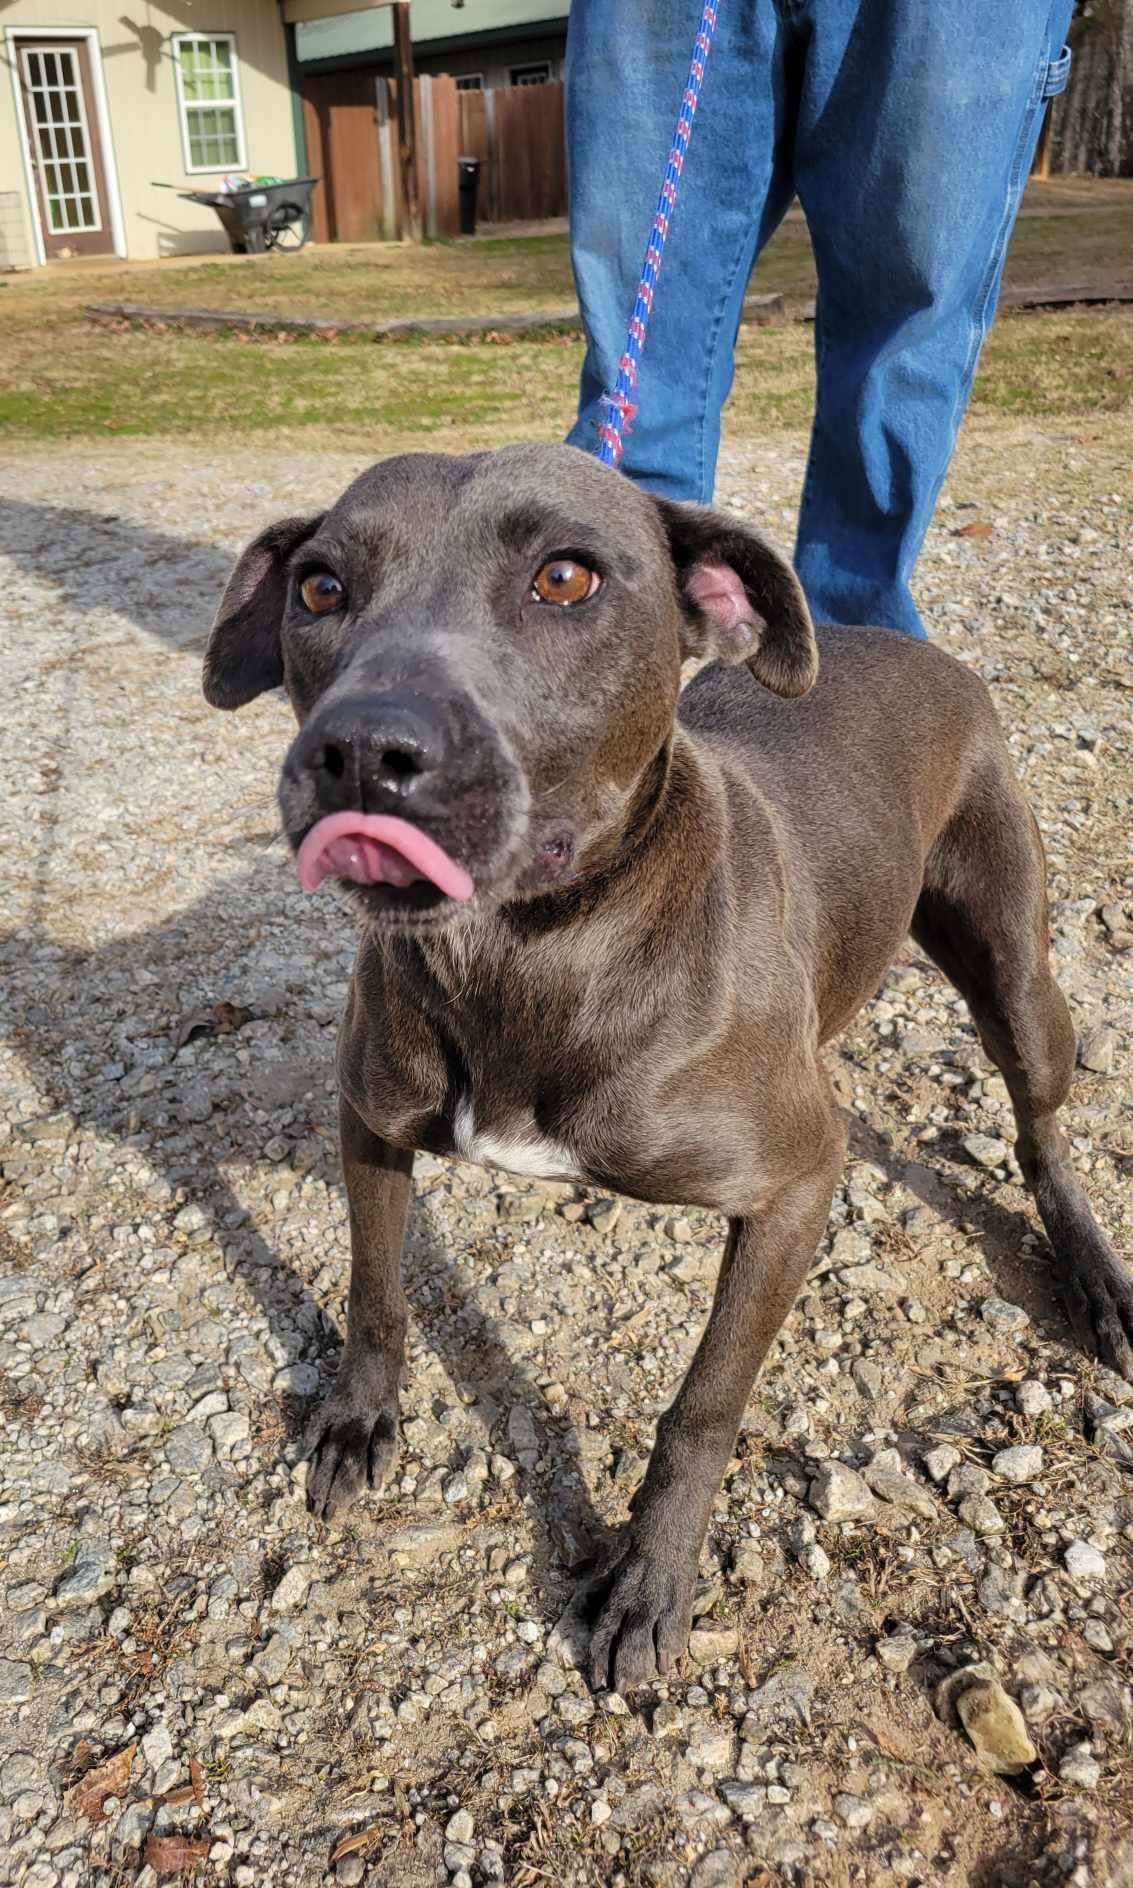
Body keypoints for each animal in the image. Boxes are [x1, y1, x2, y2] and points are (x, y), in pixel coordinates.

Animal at [205, 441, 1133, 1699]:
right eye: (318, 587)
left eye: (563, 578)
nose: (358, 752)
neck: (530, 951)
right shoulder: (368, 1121)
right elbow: (375, 1290)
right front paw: (355, 1419)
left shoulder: (794, 1187)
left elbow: (702, 1404)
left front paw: (648, 1577)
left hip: (1015, 979)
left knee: (1041, 1130)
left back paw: (1094, 1276)